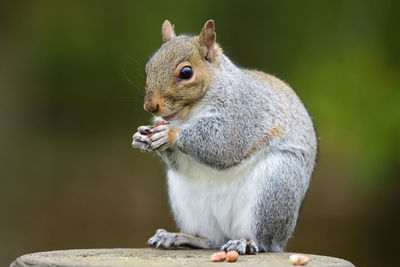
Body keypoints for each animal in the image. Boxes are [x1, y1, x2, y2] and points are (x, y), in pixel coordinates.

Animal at [133, 19, 318, 255]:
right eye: (148, 68)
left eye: (186, 72)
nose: (150, 105)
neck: (189, 113)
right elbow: (180, 162)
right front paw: (141, 137)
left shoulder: (242, 112)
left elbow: (223, 142)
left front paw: (170, 134)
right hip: (186, 202)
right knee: (209, 240)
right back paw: (178, 237)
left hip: (276, 187)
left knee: (262, 241)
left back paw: (245, 243)